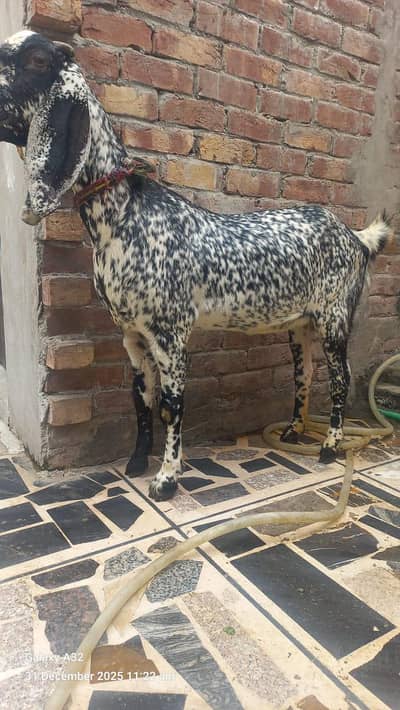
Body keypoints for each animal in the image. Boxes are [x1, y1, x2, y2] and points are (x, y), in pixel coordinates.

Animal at [0, 31, 392, 501]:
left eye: (37, 60)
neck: (126, 215)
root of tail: (355, 236)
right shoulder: (132, 335)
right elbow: (141, 399)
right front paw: (137, 463)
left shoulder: (170, 335)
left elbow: (172, 406)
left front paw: (167, 478)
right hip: (299, 325)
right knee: (305, 375)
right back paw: (294, 432)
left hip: (334, 317)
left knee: (339, 378)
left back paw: (330, 446)